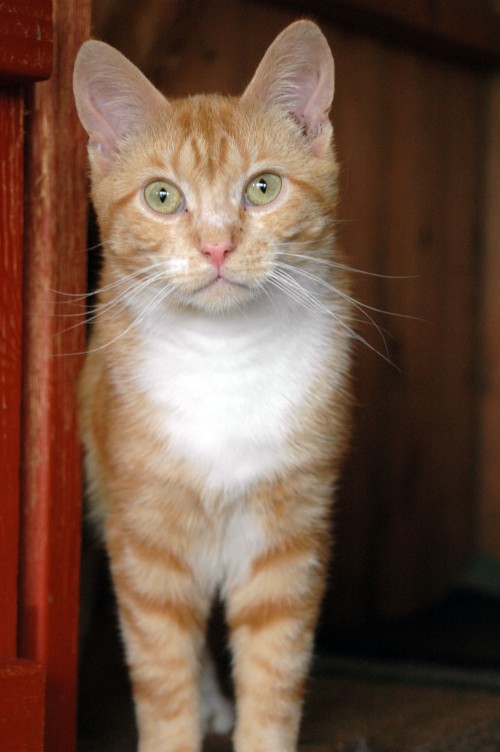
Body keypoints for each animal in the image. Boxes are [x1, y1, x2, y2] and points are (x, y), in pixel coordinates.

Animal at [74, 20, 354, 752]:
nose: (218, 247)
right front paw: (180, 722)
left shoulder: (290, 540)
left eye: (262, 188)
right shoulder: (146, 541)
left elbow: (276, 673)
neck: (226, 355)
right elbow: (162, 673)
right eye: (162, 196)